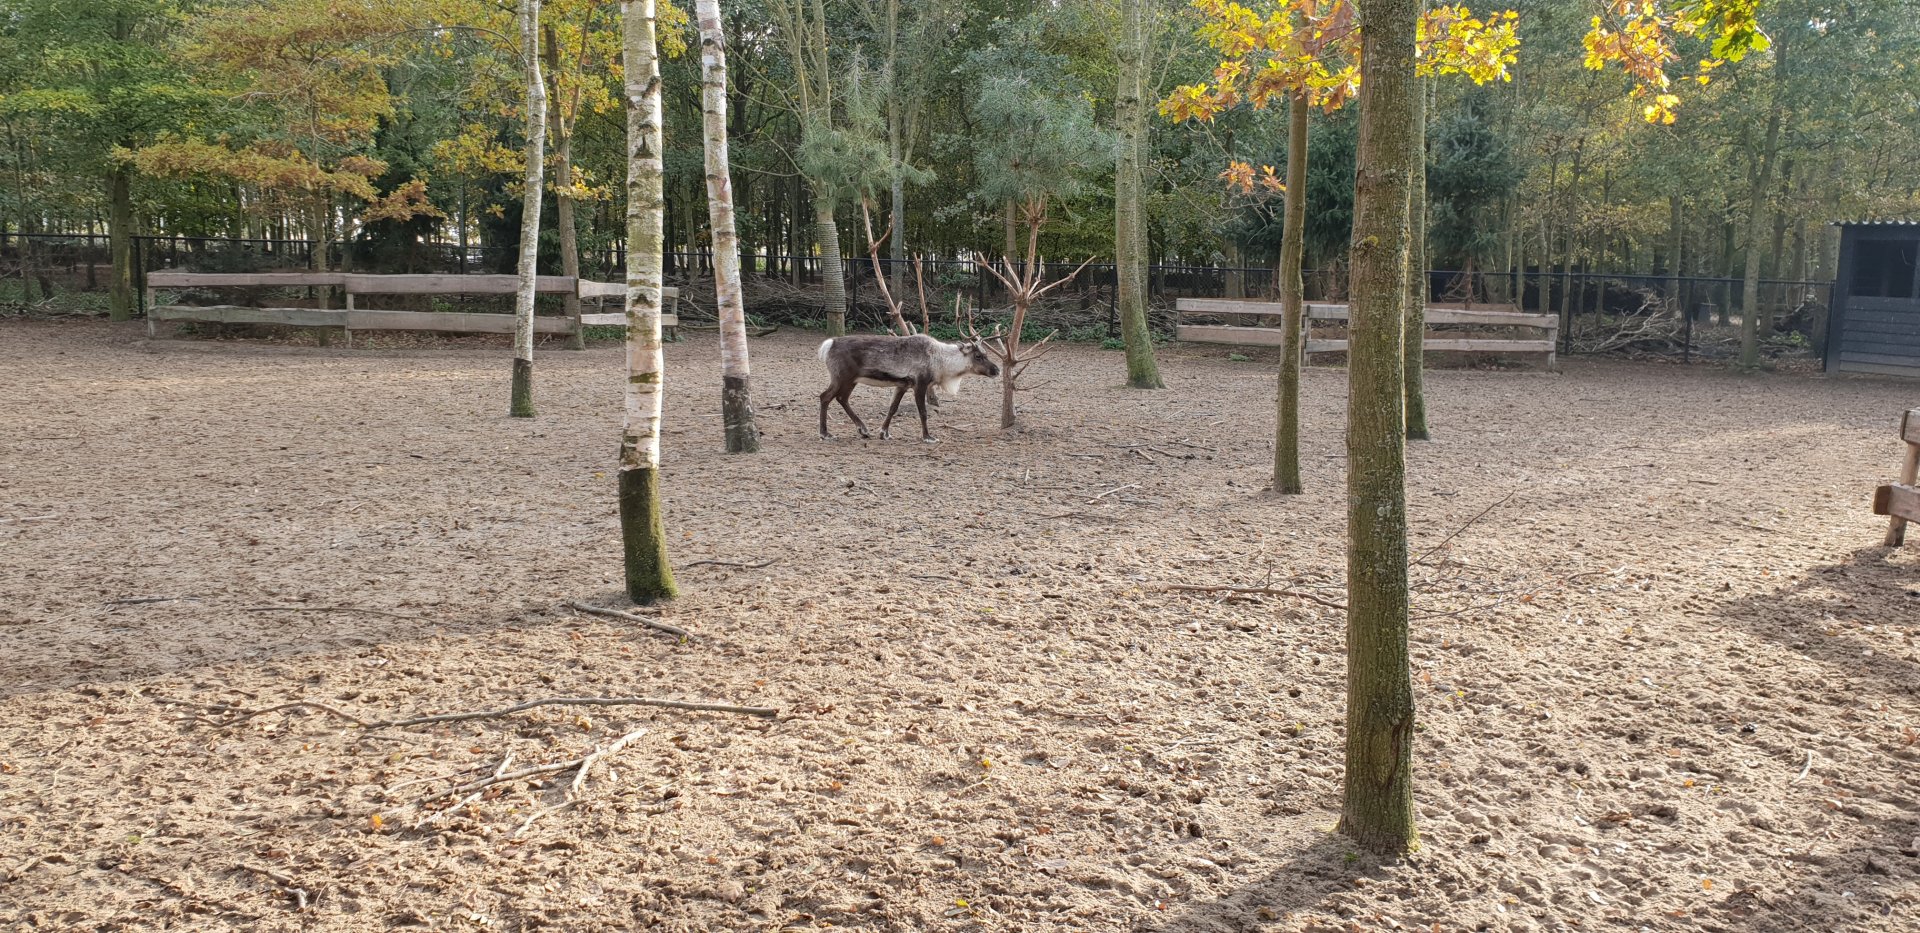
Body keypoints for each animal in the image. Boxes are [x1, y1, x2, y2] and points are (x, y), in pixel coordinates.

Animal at [817, 334, 1000, 443]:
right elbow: (923, 412)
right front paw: (928, 437)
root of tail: (829, 344)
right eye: (978, 356)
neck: (940, 360)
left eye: (986, 354)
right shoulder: (920, 384)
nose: (996, 370)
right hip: (842, 378)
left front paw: (884, 433)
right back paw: (825, 433)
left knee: (842, 398)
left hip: (851, 381)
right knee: (825, 397)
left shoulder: (902, 385)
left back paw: (863, 430)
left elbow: (892, 409)